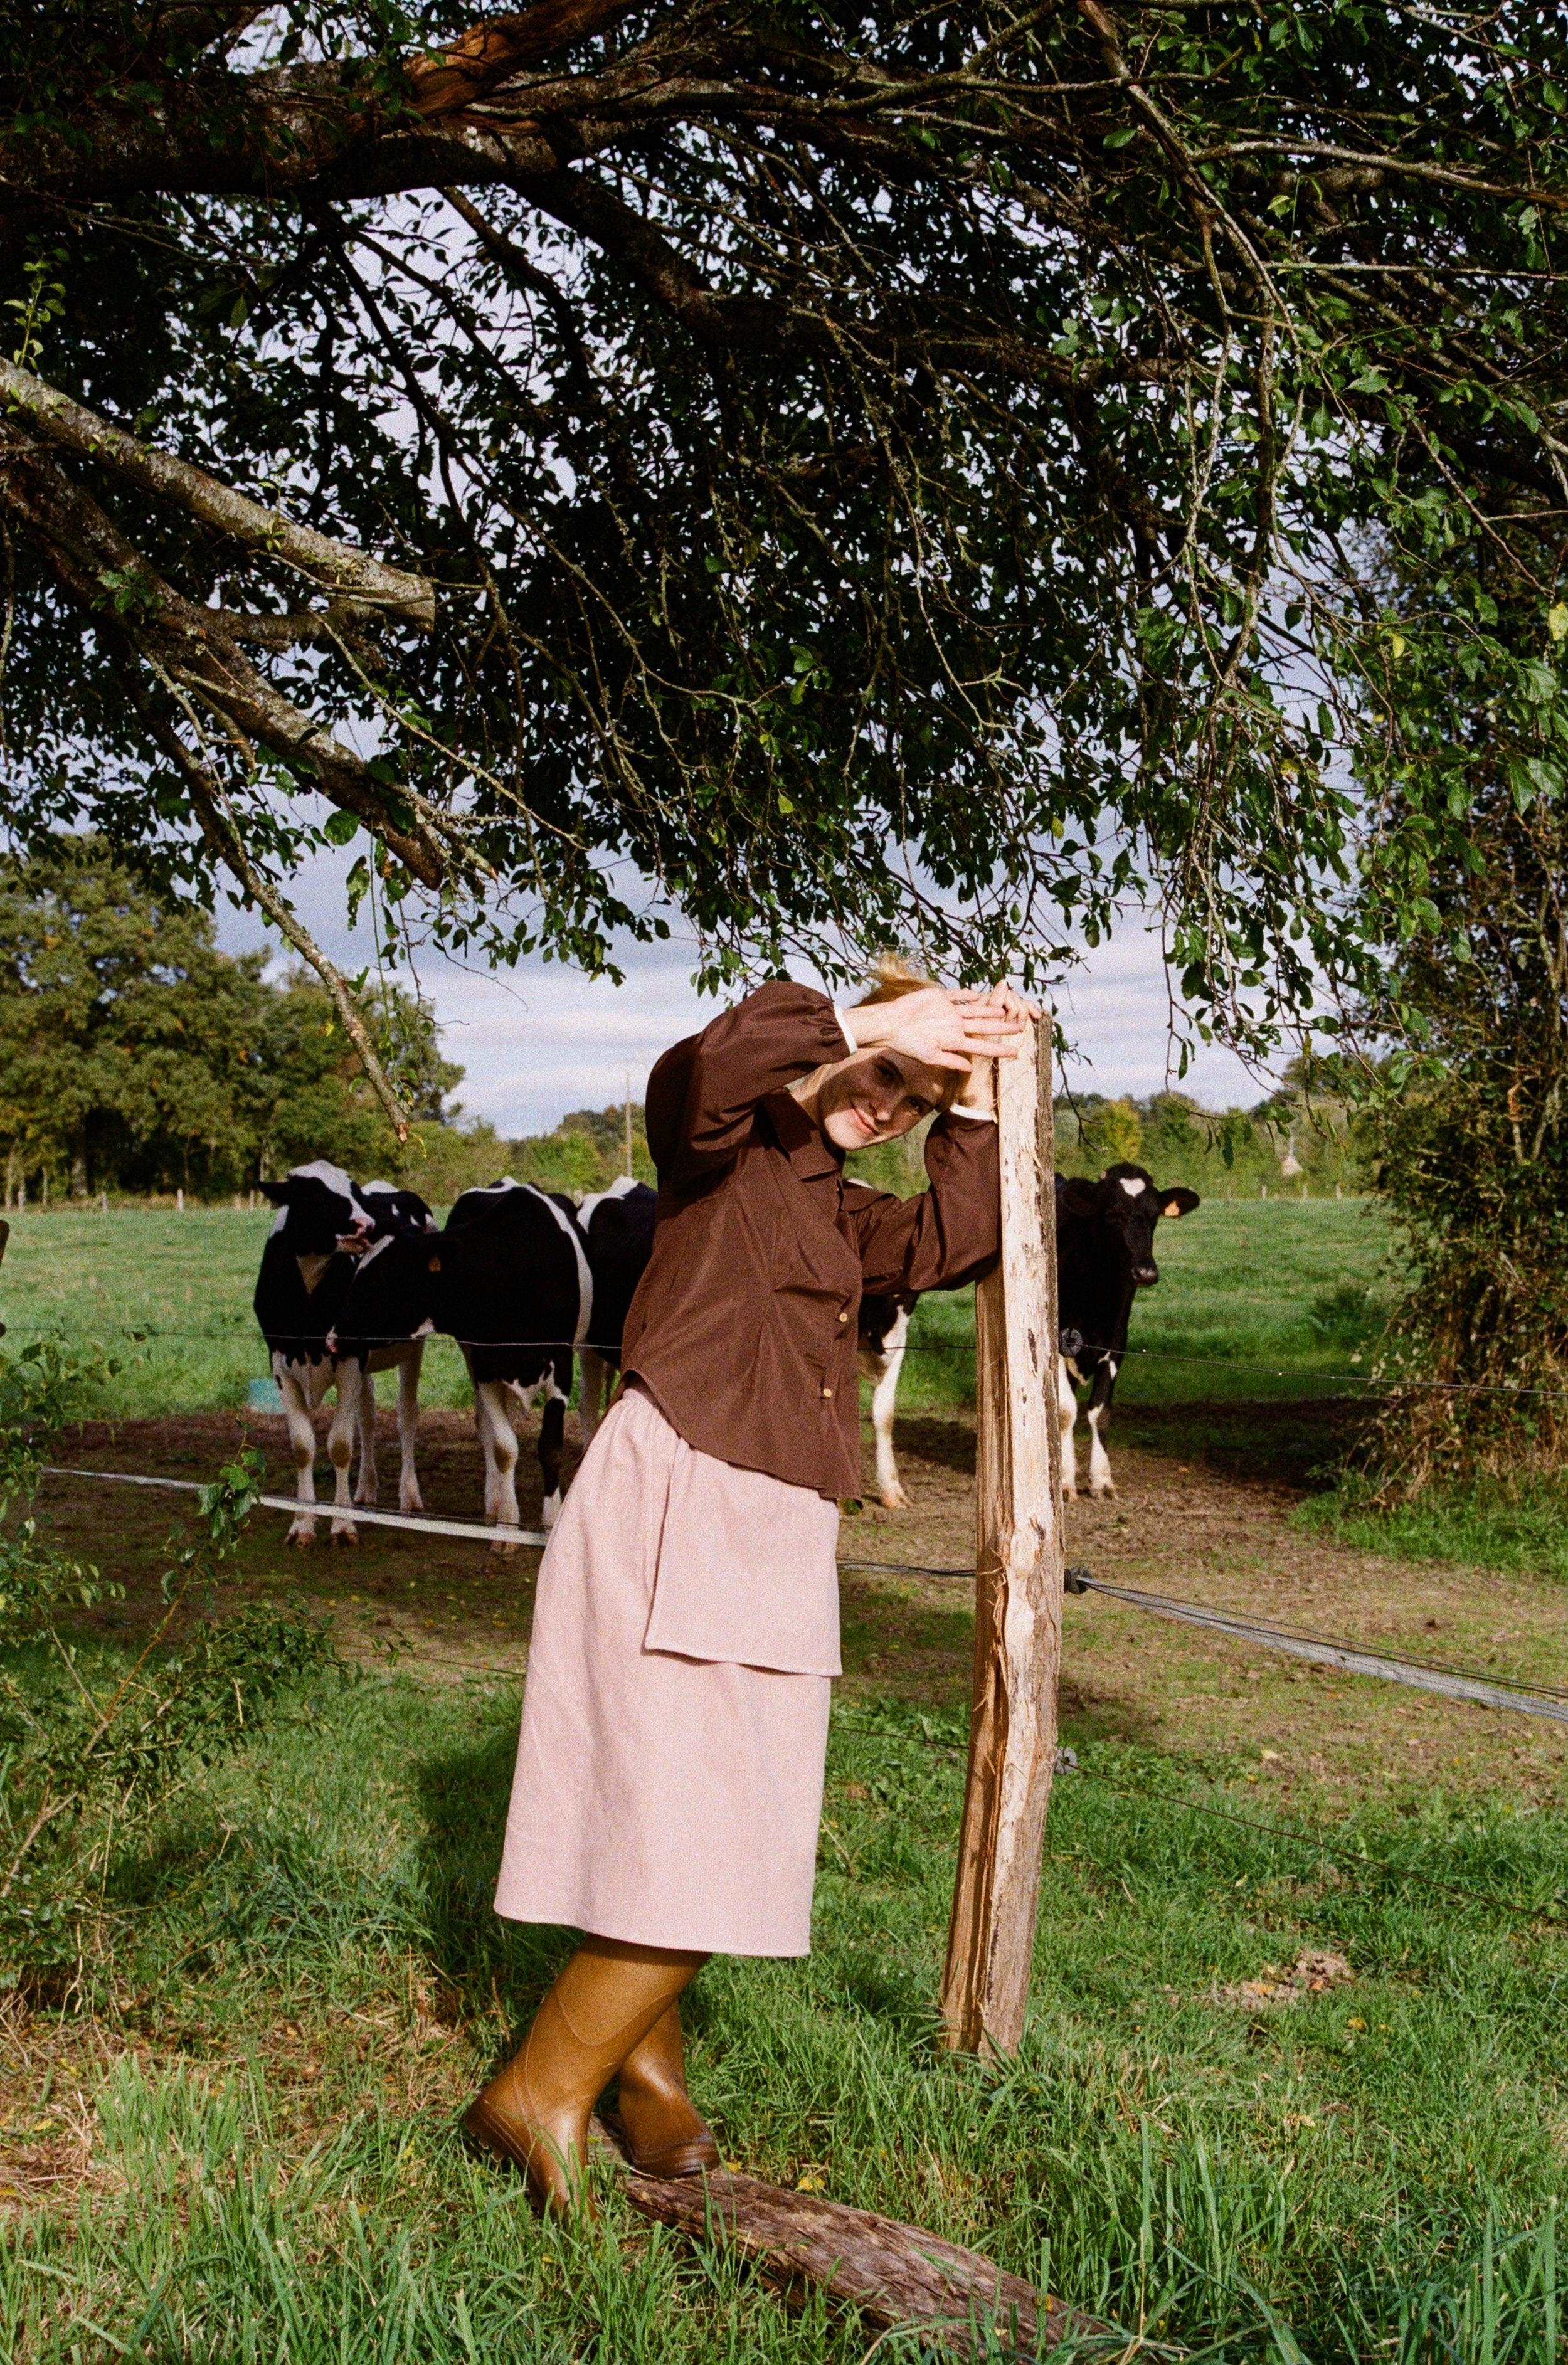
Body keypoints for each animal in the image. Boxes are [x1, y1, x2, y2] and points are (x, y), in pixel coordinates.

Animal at [254, 1158, 435, 1532]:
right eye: (313, 1195)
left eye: (353, 1193)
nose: (367, 1225)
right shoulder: (280, 1364)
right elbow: (303, 1446)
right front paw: (303, 1524)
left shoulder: (350, 1358)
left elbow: (339, 1444)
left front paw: (342, 1526)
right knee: (366, 1417)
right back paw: (364, 1490)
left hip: (413, 1346)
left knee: (406, 1415)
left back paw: (409, 1496)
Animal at [331, 1173, 596, 1542]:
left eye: (380, 1280)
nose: (333, 1339)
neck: (511, 1269)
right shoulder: (484, 1363)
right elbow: (503, 1446)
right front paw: (506, 1526)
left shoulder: (562, 1365)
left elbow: (551, 1447)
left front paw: (551, 1519)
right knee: (488, 1427)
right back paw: (494, 1501)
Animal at [1054, 1158, 1201, 1495]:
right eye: (1112, 1214)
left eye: (1155, 1216)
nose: (1145, 1272)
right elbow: (1066, 1411)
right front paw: (1065, 1480)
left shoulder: (1117, 1339)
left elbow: (1100, 1411)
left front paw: (1102, 1479)